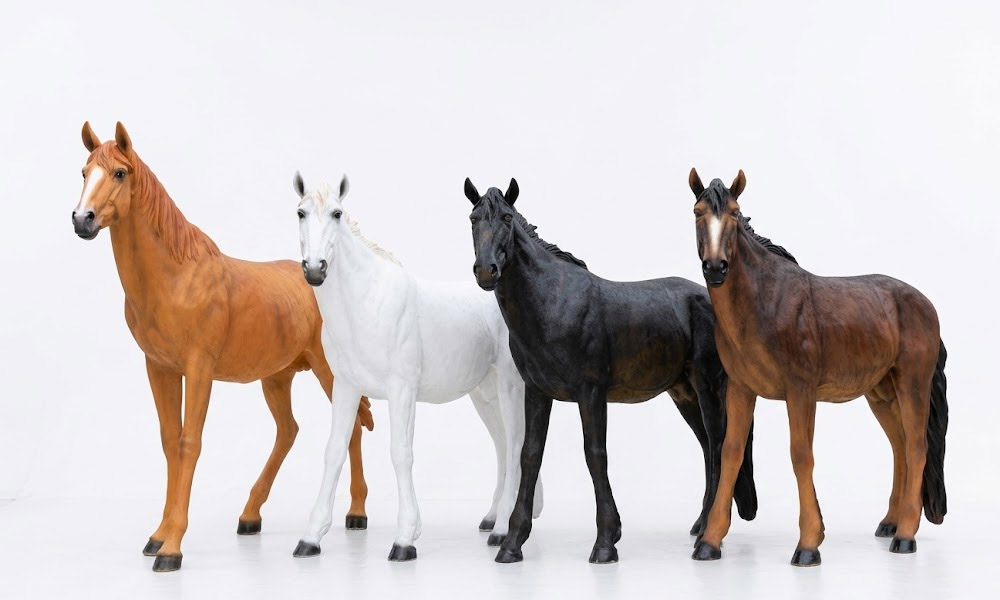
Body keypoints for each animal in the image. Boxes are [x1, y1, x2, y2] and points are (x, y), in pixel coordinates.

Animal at [71, 122, 374, 572]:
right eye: (84, 172)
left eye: (120, 173)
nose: (82, 219)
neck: (175, 278)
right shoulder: (159, 367)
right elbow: (170, 441)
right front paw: (157, 536)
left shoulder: (199, 368)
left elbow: (189, 443)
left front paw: (173, 548)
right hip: (276, 377)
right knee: (288, 431)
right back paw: (250, 516)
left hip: (328, 370)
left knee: (350, 426)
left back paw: (356, 513)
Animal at [290, 172, 542, 561]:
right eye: (300, 213)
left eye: (336, 213)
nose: (315, 270)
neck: (367, 302)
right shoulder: (346, 386)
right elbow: (334, 452)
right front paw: (311, 537)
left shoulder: (401, 390)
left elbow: (401, 453)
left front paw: (405, 539)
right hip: (485, 395)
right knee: (502, 445)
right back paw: (493, 518)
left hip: (509, 387)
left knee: (514, 444)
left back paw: (502, 530)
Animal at [463, 178, 759, 564]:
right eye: (473, 219)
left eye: (507, 217)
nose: (486, 271)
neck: (554, 302)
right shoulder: (537, 391)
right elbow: (530, 454)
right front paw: (513, 542)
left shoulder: (591, 392)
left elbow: (595, 454)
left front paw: (606, 541)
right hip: (684, 394)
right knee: (708, 446)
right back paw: (701, 527)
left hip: (708, 386)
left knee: (718, 445)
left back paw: (707, 538)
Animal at [687, 169, 948, 566]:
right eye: (697, 212)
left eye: (734, 213)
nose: (716, 268)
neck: (764, 302)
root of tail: (925, 305)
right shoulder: (741, 388)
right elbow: (730, 451)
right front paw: (710, 541)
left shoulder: (801, 391)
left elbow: (801, 455)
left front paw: (809, 544)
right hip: (882, 394)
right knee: (901, 448)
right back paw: (891, 523)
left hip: (912, 385)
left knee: (917, 448)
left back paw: (905, 536)